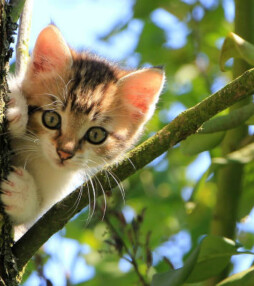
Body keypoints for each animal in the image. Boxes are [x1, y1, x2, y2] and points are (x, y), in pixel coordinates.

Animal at [0, 24, 166, 230]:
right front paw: (15, 105)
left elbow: (31, 218)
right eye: (51, 119)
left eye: (96, 135)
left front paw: (22, 194)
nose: (64, 153)